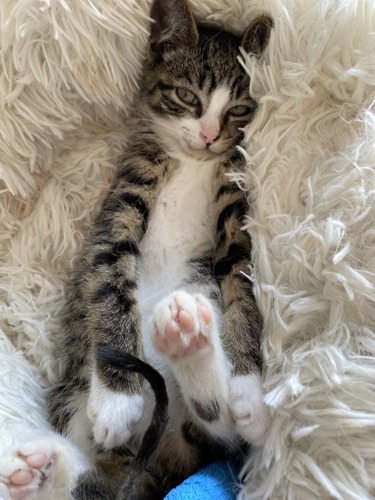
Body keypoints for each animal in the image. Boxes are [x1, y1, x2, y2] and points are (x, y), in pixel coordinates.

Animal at [0, 0, 272, 500]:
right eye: (187, 96)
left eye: (239, 110)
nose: (209, 135)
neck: (191, 163)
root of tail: (161, 459)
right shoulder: (120, 206)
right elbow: (109, 283)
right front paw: (118, 401)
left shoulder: (235, 216)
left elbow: (242, 288)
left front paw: (251, 392)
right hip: (79, 404)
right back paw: (43, 471)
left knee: (215, 423)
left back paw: (188, 338)